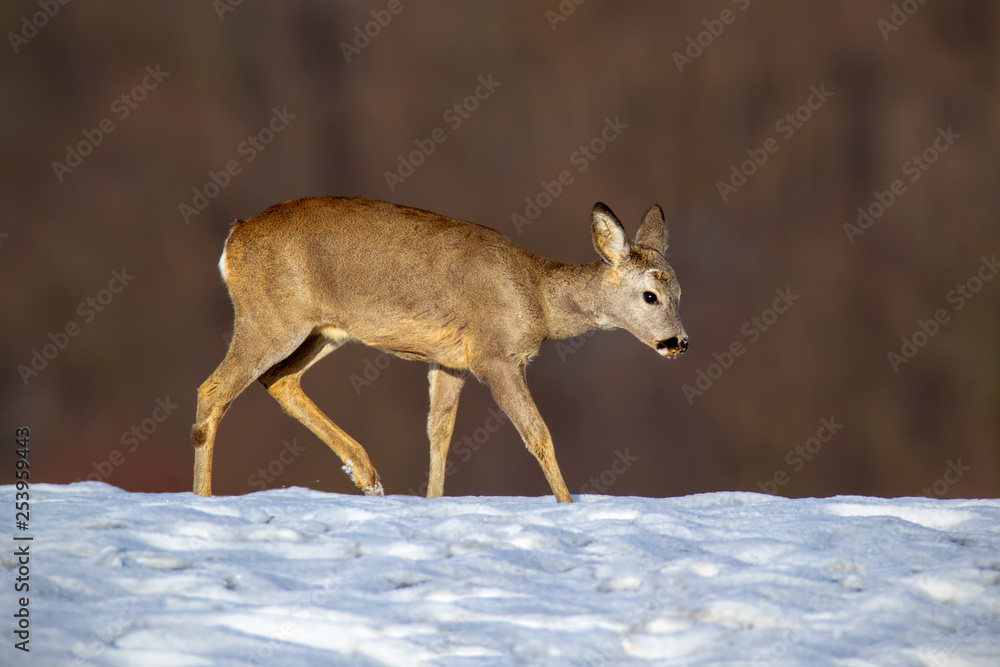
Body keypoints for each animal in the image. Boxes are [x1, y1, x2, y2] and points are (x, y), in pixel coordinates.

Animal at [191, 197, 687, 502]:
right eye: (650, 296)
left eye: (680, 292)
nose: (679, 342)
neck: (538, 299)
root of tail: (232, 240)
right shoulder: (494, 355)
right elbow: (538, 434)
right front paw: (568, 505)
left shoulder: (449, 362)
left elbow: (439, 433)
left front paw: (432, 502)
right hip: (271, 317)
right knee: (213, 389)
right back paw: (203, 497)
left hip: (322, 330)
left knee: (279, 380)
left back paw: (368, 475)